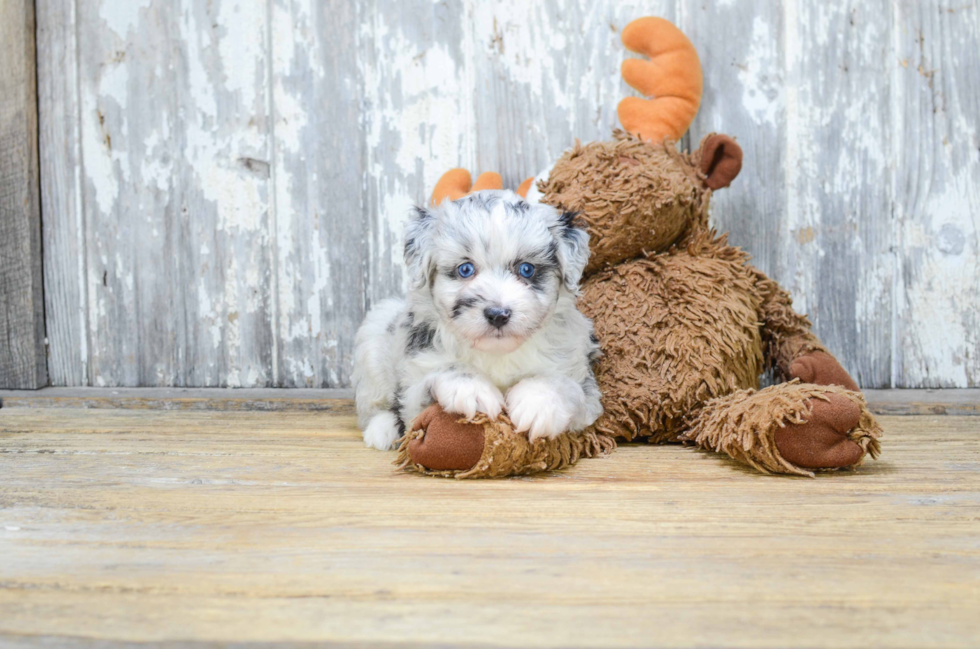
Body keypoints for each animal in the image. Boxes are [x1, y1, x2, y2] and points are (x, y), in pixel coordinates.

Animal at [348, 190, 600, 448]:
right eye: (465, 269)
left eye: (527, 269)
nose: (498, 314)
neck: (497, 354)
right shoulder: (413, 395)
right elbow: (442, 372)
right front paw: (470, 388)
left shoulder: (586, 389)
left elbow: (564, 385)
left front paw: (538, 401)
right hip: (374, 337)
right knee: (376, 406)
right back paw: (382, 430)